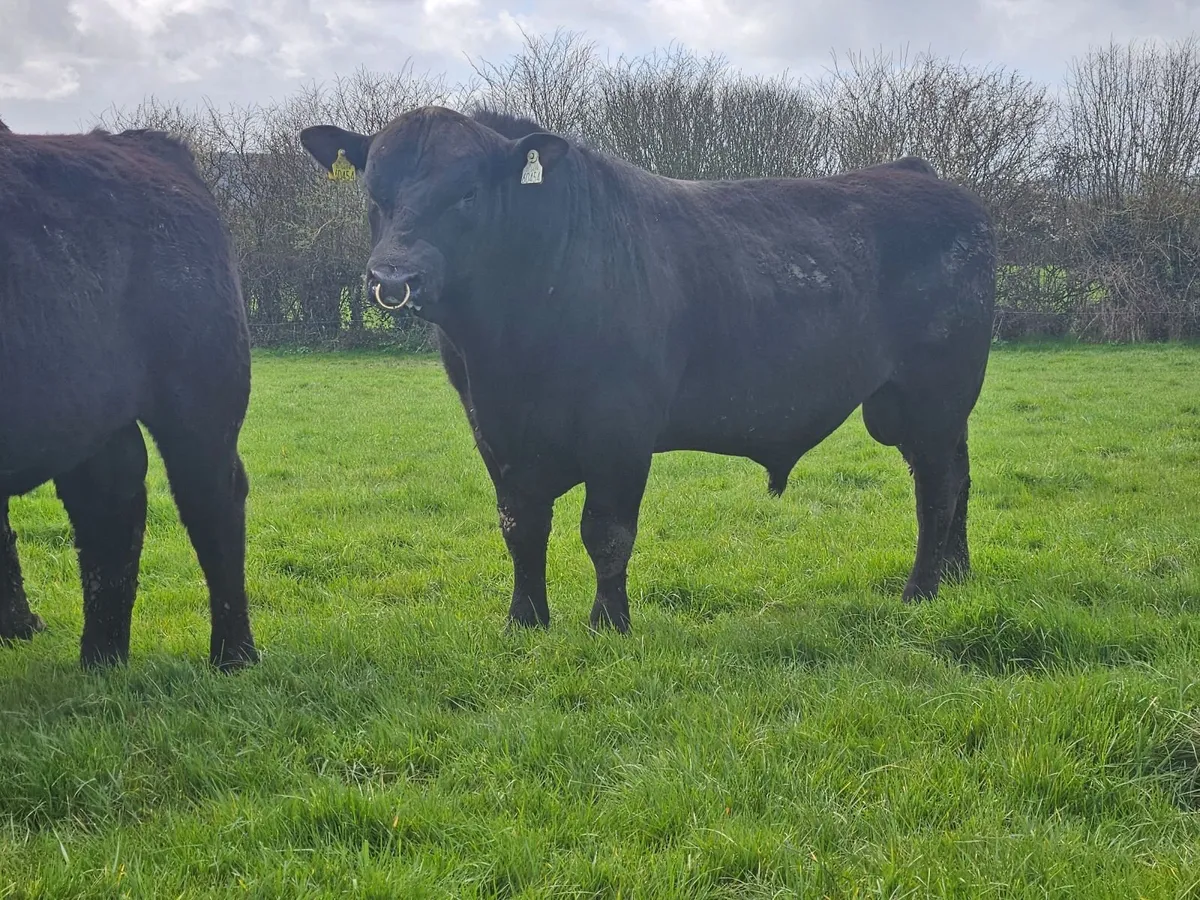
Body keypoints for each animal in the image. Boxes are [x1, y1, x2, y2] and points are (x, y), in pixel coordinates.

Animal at [0, 119, 259, 670]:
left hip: (201, 398)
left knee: (212, 499)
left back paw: (233, 653)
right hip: (93, 414)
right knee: (111, 504)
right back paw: (101, 654)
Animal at [299, 106, 997, 634]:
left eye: (467, 193)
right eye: (374, 194)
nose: (393, 278)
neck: (507, 352)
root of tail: (921, 176)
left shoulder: (620, 429)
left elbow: (606, 532)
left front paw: (608, 624)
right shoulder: (493, 431)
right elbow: (521, 527)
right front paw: (525, 620)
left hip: (933, 396)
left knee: (936, 491)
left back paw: (921, 589)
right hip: (933, 409)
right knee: (958, 479)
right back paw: (958, 575)